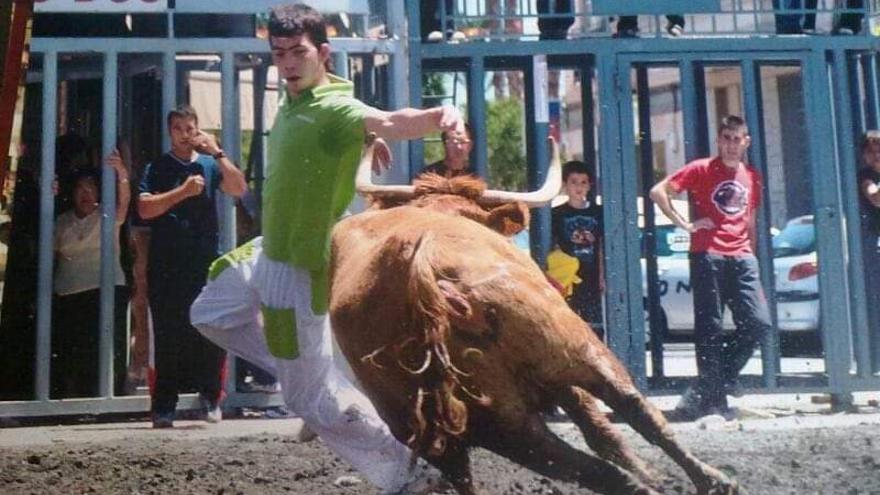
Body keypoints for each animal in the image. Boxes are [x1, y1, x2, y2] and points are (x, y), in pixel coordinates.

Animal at [330, 137, 744, 495]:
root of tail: (422, 267)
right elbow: (600, 426)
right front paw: (652, 472)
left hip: (498, 423)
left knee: (582, 462)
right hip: (573, 348)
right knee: (631, 413)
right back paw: (708, 480)